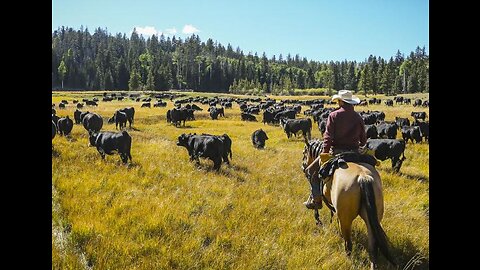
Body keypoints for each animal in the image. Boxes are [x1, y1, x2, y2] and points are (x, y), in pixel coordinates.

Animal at [302, 138, 396, 268]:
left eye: (304, 153)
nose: (303, 166)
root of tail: (363, 178)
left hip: (346, 220)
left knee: (348, 245)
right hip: (372, 219)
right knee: (373, 247)